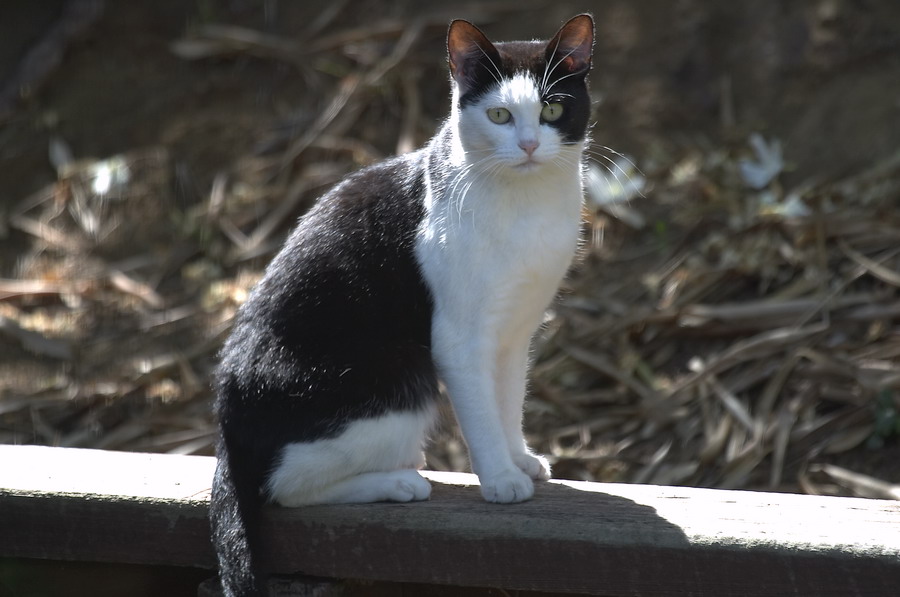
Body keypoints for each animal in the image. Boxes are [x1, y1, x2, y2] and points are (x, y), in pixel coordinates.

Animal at [209, 15, 592, 596]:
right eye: (499, 115)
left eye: (552, 110)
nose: (528, 145)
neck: (527, 207)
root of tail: (227, 414)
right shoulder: (458, 337)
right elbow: (480, 414)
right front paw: (501, 480)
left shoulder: (515, 330)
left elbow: (506, 402)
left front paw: (518, 459)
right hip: (396, 383)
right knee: (283, 486)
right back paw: (399, 482)